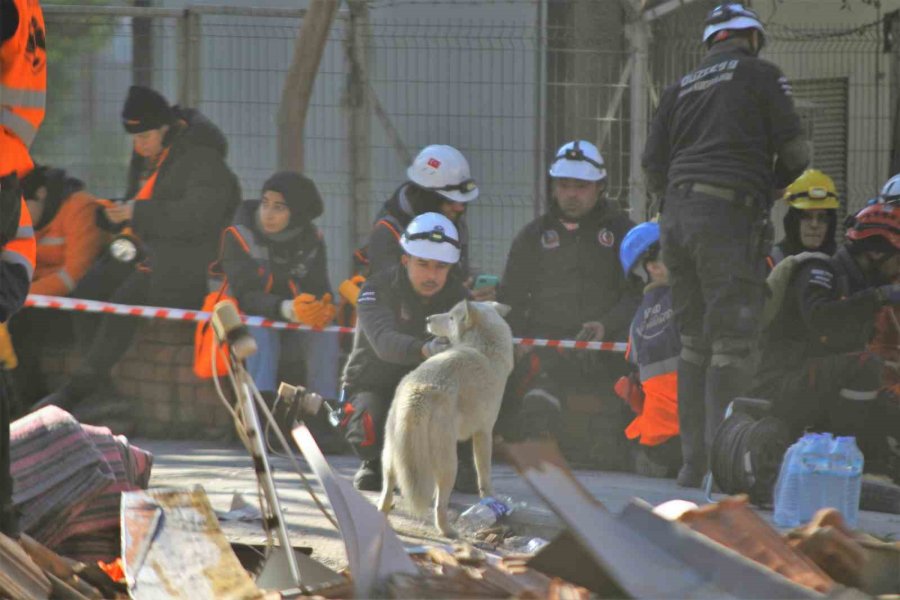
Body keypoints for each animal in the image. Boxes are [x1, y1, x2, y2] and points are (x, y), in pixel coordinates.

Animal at [374, 302, 512, 536]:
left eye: (450, 317)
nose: (427, 319)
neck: (484, 348)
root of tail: (417, 393)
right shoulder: (484, 433)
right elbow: (484, 476)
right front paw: (490, 500)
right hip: (449, 465)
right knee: (440, 504)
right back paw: (448, 531)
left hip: (390, 458)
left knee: (386, 494)